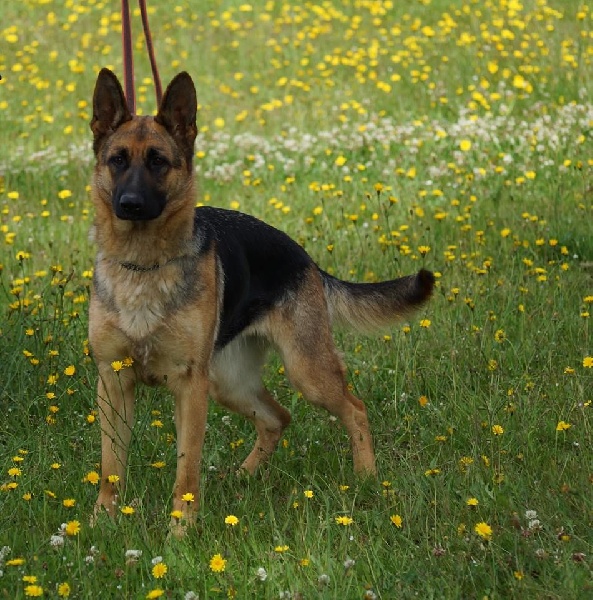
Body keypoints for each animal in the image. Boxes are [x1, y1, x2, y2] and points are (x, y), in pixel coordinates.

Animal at [89, 68, 434, 532]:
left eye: (158, 161)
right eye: (118, 160)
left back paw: (366, 476)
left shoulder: (190, 388)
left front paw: (181, 529)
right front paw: (103, 520)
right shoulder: (113, 384)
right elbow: (111, 465)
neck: (144, 266)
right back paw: (244, 475)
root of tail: (305, 258)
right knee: (277, 418)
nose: (130, 205)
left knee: (354, 409)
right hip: (229, 383)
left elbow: (186, 469)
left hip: (305, 372)